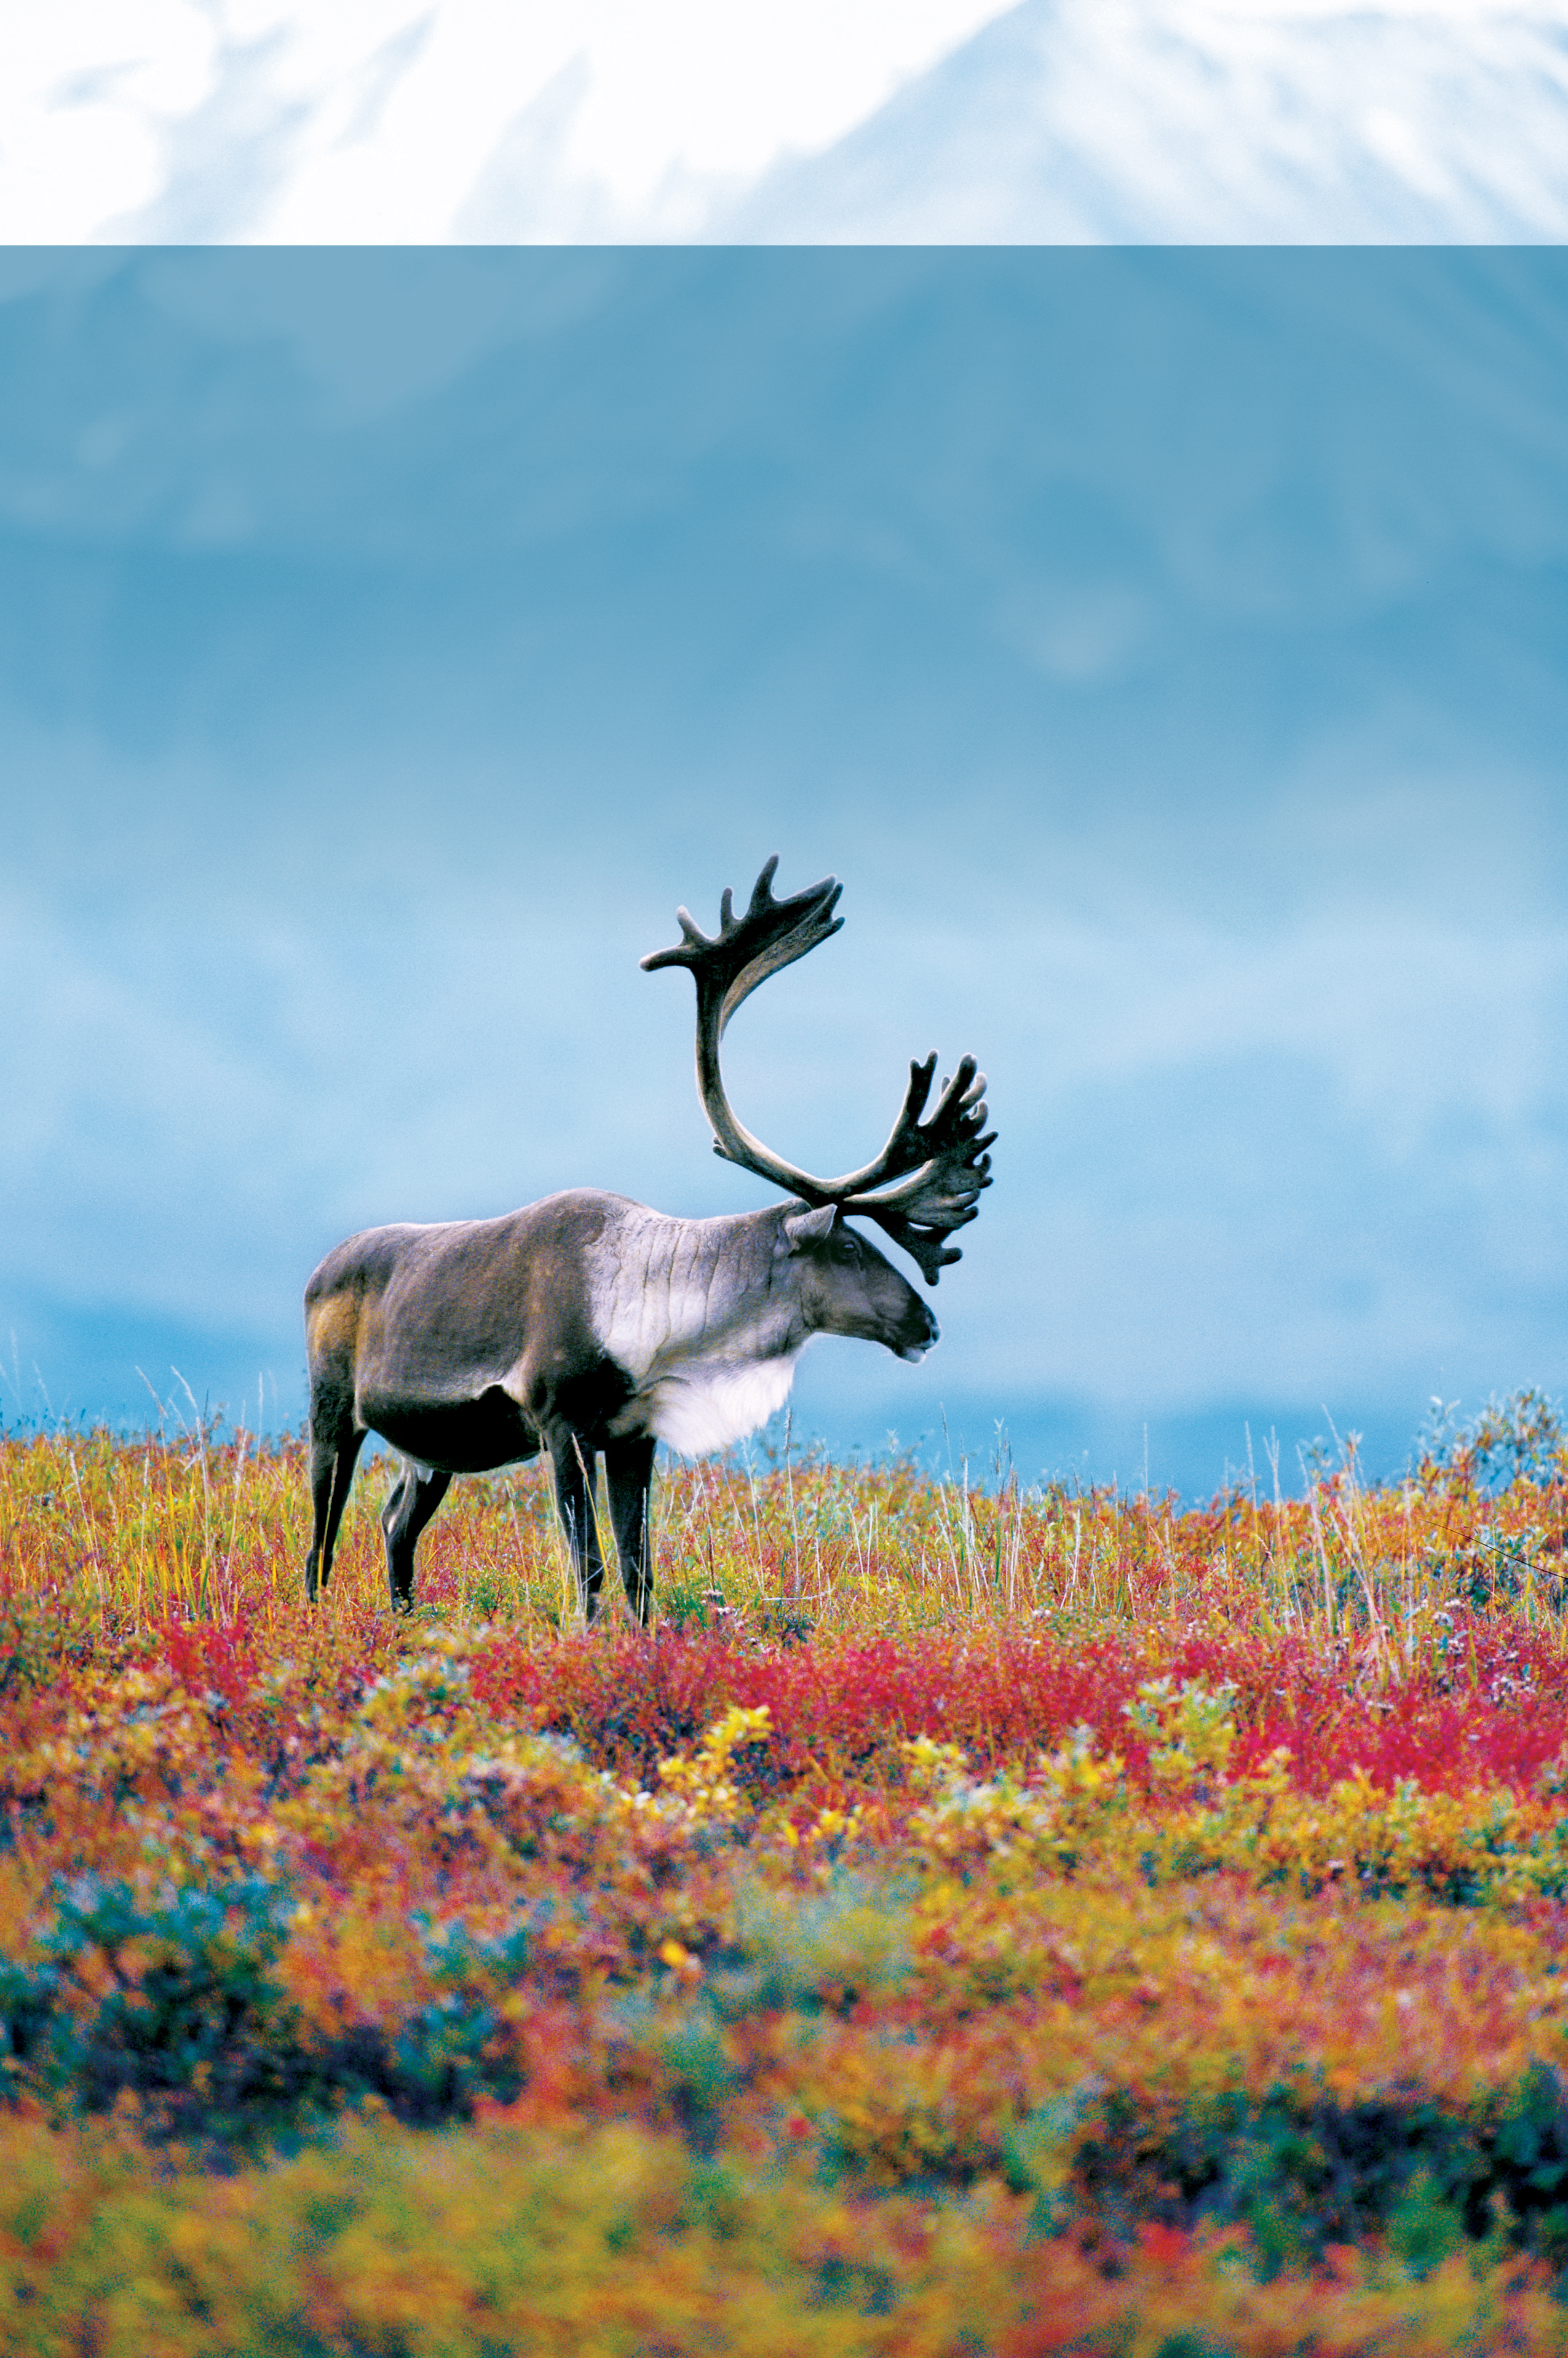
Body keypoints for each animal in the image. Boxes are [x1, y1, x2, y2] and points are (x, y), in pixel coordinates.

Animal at [302, 858, 994, 1622]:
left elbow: (639, 1568)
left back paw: (404, 1621)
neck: (653, 1316)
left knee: (395, 1522)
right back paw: (315, 1619)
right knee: (321, 1538)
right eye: (848, 1249)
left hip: (433, 1448)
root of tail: (320, 1269)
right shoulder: (560, 1423)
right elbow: (591, 1568)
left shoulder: (635, 1433)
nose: (927, 1324)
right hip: (332, 1409)